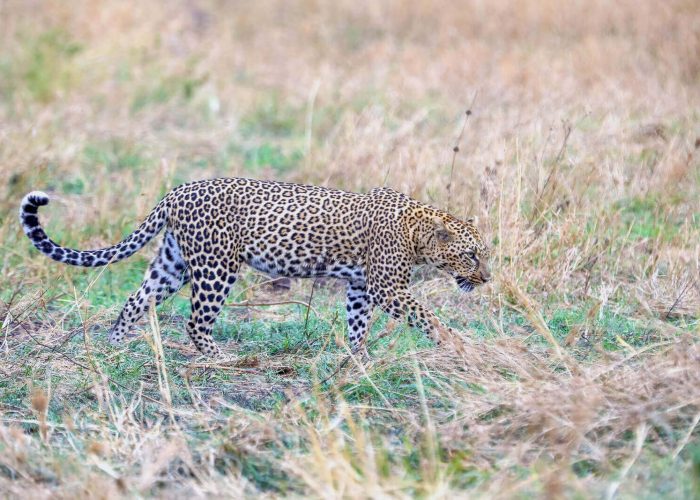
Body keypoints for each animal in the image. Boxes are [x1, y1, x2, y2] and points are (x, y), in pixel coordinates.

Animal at [21, 178, 492, 358]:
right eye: (472, 255)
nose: (486, 278)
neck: (418, 232)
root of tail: (176, 192)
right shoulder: (387, 288)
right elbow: (428, 317)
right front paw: (456, 345)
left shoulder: (361, 287)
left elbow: (358, 324)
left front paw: (356, 358)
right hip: (216, 266)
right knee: (195, 322)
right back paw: (220, 358)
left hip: (173, 263)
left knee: (135, 300)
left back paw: (114, 347)